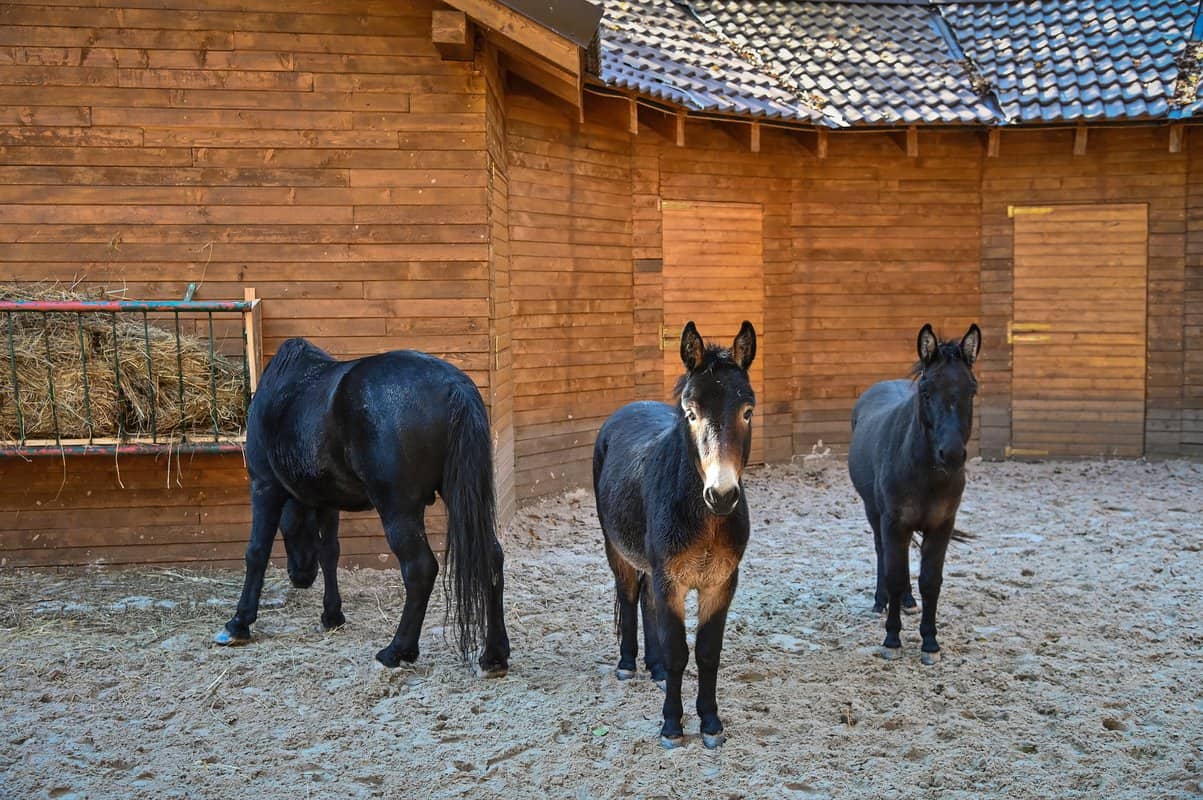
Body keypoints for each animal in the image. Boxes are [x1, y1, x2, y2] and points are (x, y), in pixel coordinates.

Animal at [214, 336, 510, 673]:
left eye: (290, 530)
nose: (300, 576)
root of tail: (453, 386)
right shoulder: (326, 500)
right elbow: (329, 553)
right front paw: (332, 615)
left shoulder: (264, 485)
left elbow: (256, 552)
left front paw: (239, 623)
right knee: (491, 558)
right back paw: (495, 655)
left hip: (398, 509)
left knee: (420, 569)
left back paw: (398, 650)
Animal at [589, 319, 750, 750]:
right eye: (690, 413)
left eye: (747, 411)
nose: (722, 495)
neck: (706, 519)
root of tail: (631, 407)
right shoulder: (671, 580)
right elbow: (680, 651)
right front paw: (672, 726)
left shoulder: (720, 583)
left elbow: (708, 652)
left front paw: (710, 723)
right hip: (617, 549)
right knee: (630, 596)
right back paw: (629, 663)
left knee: (646, 600)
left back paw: (656, 668)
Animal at [846, 322, 976, 664]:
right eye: (927, 390)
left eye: (972, 389)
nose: (952, 454)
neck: (924, 472)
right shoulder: (894, 523)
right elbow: (894, 574)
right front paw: (892, 639)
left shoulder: (941, 526)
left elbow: (930, 581)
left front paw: (930, 642)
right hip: (874, 512)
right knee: (884, 555)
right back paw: (881, 602)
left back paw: (907, 601)